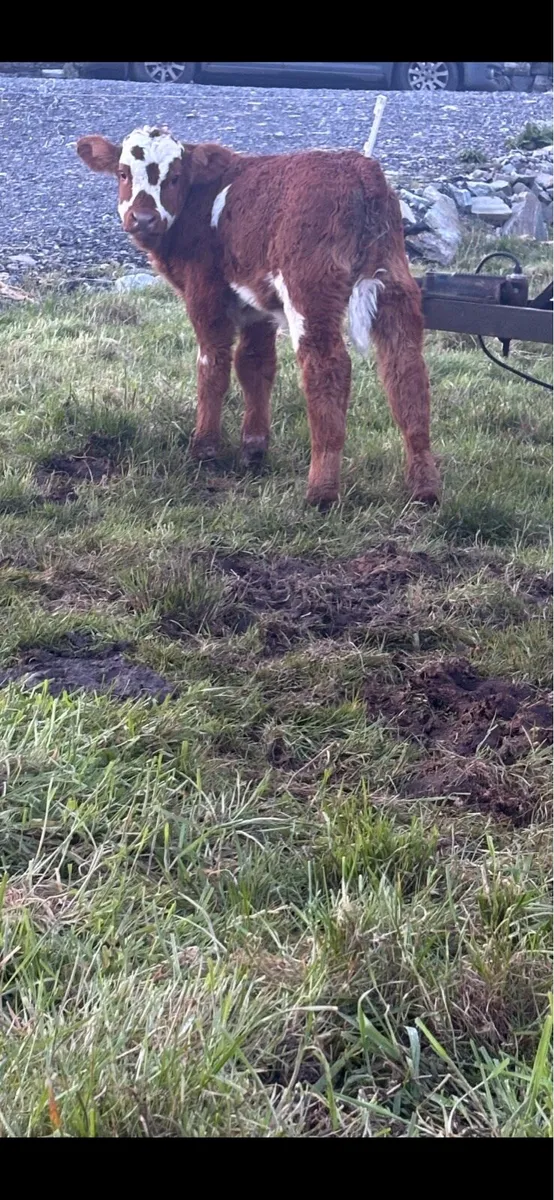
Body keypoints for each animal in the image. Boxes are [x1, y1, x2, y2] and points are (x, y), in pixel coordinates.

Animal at [76, 126, 441, 508]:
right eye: (123, 173)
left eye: (174, 177)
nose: (143, 219)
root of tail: (359, 168)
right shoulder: (255, 304)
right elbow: (255, 364)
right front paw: (254, 447)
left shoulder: (204, 291)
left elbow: (213, 363)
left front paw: (204, 446)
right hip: (395, 284)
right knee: (405, 368)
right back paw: (424, 486)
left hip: (310, 290)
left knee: (327, 367)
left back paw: (321, 491)